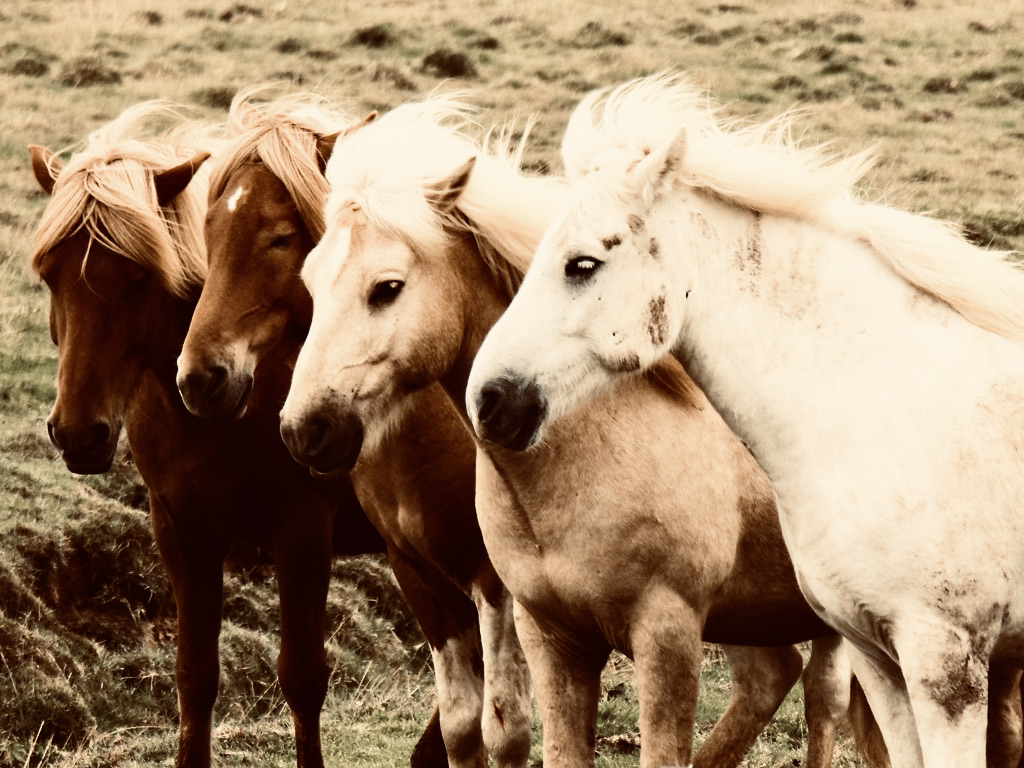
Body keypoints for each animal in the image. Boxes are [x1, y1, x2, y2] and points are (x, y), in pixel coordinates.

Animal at [27, 105, 444, 768]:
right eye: (48, 275)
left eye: (138, 275)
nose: (76, 433)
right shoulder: (182, 530)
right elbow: (195, 675)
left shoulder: (302, 529)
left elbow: (302, 676)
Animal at [173, 91, 532, 768]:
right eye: (207, 231)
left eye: (280, 236)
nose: (200, 377)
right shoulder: (420, 575)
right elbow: (463, 725)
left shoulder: (494, 581)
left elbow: (507, 728)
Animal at [276, 96, 876, 768]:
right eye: (309, 281)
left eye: (387, 288)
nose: (304, 428)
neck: (588, 453)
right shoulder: (553, 638)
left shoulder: (667, 637)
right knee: (771, 679)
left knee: (823, 702)